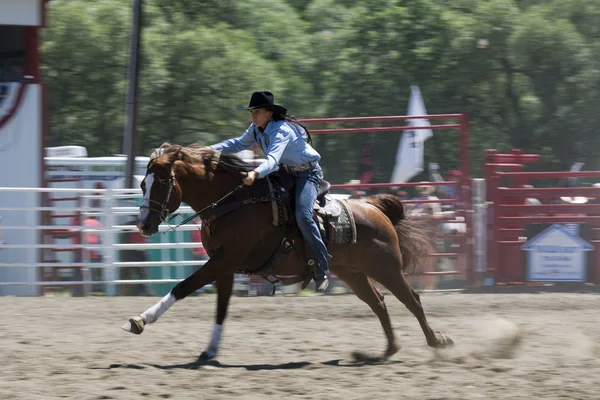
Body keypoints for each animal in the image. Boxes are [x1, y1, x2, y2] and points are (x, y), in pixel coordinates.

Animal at [120, 143, 450, 360]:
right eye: (142, 183)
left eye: (163, 181)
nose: (144, 224)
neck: (233, 202)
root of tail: (374, 208)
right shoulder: (224, 265)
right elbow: (221, 308)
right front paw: (210, 350)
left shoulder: (225, 259)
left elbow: (184, 286)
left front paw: (139, 320)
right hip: (353, 273)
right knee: (379, 303)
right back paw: (387, 350)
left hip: (386, 268)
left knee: (412, 300)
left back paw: (437, 342)